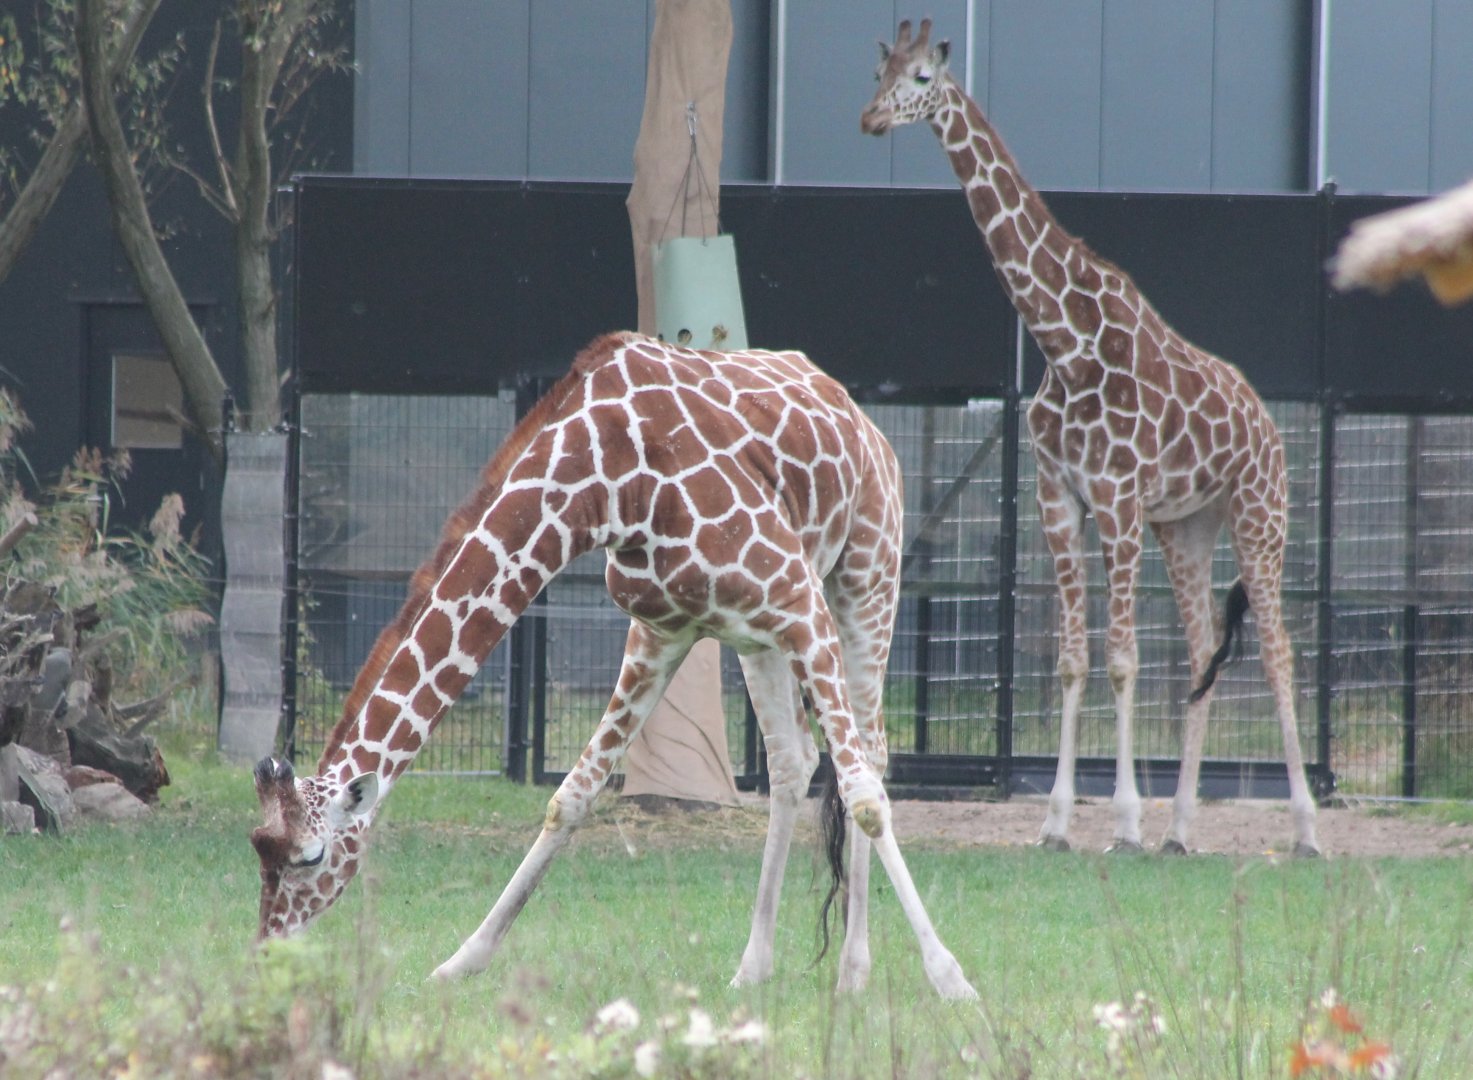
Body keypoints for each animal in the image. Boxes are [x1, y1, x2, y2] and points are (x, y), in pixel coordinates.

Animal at [250, 331, 977, 1000]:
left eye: (311, 857)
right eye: (258, 848)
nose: (267, 952)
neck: (605, 485)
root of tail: (857, 414)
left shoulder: (797, 598)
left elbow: (864, 796)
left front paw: (951, 977)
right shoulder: (662, 629)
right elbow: (570, 796)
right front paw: (462, 959)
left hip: (865, 575)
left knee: (871, 754)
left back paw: (853, 972)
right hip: (756, 637)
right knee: (792, 762)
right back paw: (753, 967)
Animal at [860, 19, 1320, 857]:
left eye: (919, 78)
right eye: (875, 73)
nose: (870, 119)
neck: (1060, 339)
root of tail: (1266, 425)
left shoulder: (1116, 498)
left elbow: (1123, 660)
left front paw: (1124, 822)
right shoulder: (1058, 497)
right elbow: (1076, 662)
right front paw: (1057, 822)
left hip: (1258, 513)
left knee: (1276, 654)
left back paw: (1303, 832)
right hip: (1188, 527)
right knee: (1202, 650)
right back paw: (1180, 831)